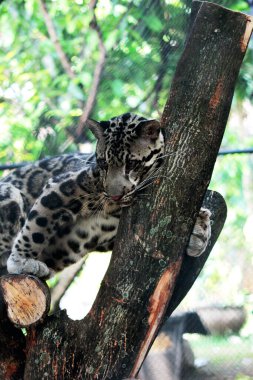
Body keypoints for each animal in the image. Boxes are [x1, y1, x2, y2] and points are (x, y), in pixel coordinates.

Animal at [0, 111, 211, 278]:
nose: (114, 195)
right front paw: (21, 261)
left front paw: (200, 230)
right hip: (10, 191)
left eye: (132, 164)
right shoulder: (60, 188)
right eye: (103, 163)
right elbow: (36, 228)